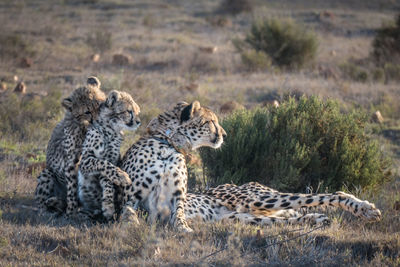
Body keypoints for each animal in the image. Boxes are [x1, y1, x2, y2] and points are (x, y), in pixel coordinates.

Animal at [34, 76, 105, 217]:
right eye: (87, 112)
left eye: (99, 105)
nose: (99, 120)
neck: (84, 127)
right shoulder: (71, 163)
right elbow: (72, 188)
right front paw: (71, 213)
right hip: (47, 173)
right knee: (41, 203)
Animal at [77, 90, 141, 222]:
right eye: (129, 111)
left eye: (137, 112)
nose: (138, 122)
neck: (110, 130)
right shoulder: (85, 160)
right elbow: (102, 163)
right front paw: (122, 177)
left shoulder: (112, 159)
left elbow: (107, 176)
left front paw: (108, 206)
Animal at [119, 101, 227, 233]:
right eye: (210, 121)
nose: (225, 135)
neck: (168, 145)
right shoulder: (130, 197)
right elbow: (128, 212)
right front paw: (131, 225)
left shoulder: (176, 197)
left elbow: (179, 214)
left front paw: (184, 228)